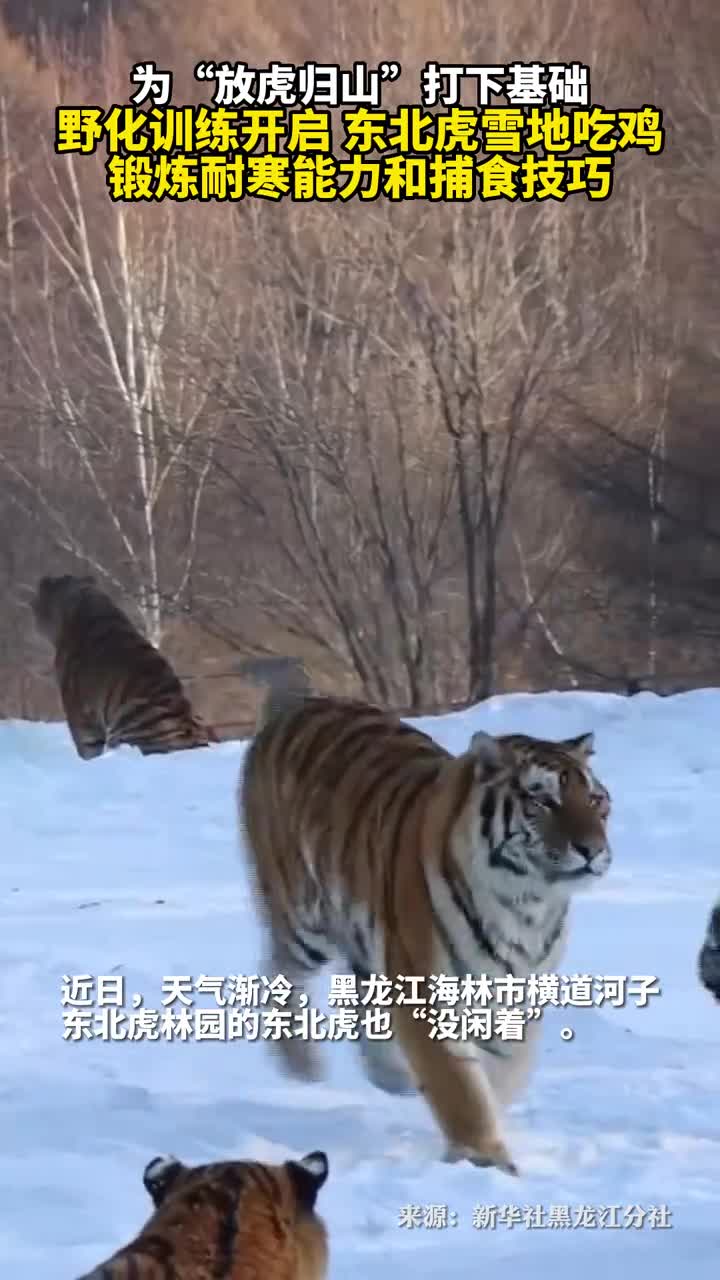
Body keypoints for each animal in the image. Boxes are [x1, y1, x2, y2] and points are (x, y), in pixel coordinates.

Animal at [237, 688, 613, 1178]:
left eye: (596, 801)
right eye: (544, 802)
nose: (593, 849)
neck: (525, 902)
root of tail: (299, 702)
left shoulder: (516, 991)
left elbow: (502, 1073)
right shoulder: (425, 988)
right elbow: (461, 1087)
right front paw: (484, 1157)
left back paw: (390, 1075)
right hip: (304, 914)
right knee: (278, 969)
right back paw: (301, 1065)